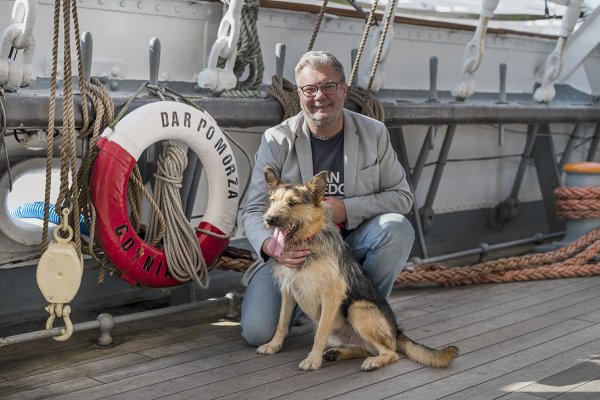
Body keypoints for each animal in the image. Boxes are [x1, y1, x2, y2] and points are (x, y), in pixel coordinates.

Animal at [254, 166, 460, 372]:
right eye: (273, 201)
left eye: (293, 203)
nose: (269, 219)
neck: (307, 242)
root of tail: (396, 331)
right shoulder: (288, 291)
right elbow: (281, 323)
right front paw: (273, 345)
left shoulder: (332, 295)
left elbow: (319, 334)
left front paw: (312, 360)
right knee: (364, 348)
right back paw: (336, 353)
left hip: (357, 308)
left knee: (390, 353)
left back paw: (373, 361)